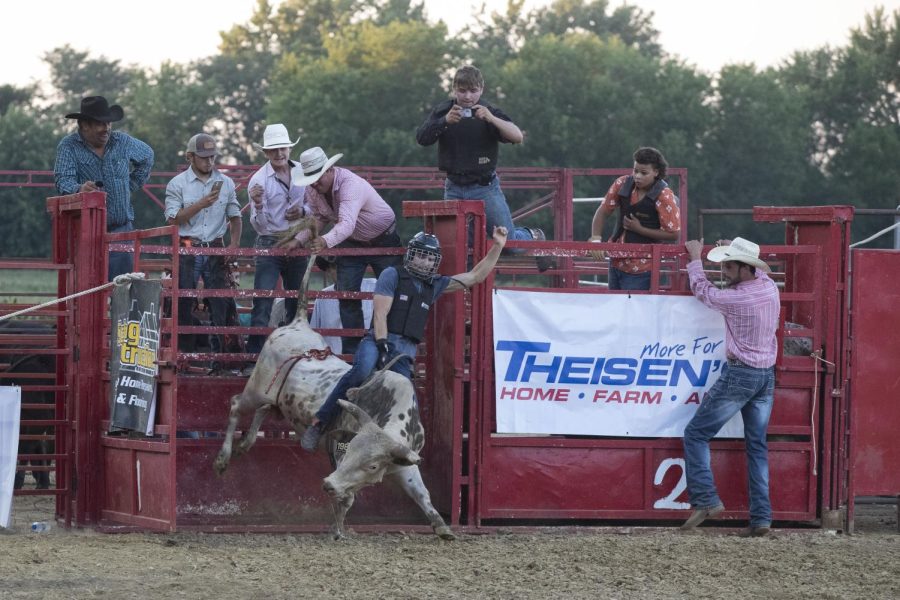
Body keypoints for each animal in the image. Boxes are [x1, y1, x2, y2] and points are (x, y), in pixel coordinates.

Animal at [210, 238, 450, 540]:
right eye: (351, 450)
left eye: (372, 465)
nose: (328, 485)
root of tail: (299, 322)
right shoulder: (338, 450)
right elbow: (347, 498)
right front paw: (337, 528)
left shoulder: (404, 465)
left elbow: (422, 494)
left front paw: (442, 526)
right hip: (257, 388)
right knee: (235, 404)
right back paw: (222, 459)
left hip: (276, 400)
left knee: (264, 410)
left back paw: (245, 445)